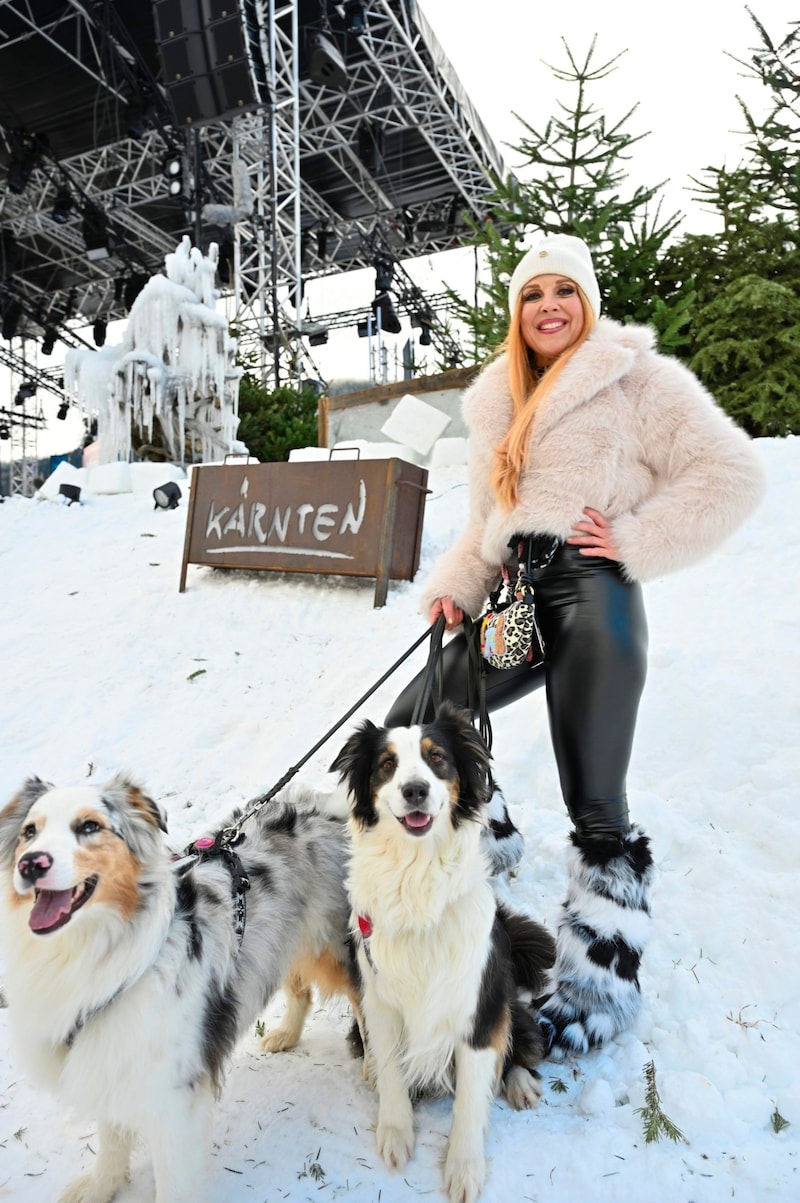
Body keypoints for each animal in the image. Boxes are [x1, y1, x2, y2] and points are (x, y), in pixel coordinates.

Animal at [0, 774, 358, 1203]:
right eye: (29, 832)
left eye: (89, 826)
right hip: (280, 940)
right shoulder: (107, 1054)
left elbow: (172, 1179)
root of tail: (318, 804)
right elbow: (110, 1135)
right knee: (300, 989)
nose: (30, 864)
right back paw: (286, 1034)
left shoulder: (174, 1096)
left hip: (334, 947)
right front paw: (102, 1185)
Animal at [329, 702, 555, 1203]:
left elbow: (470, 1099)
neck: (417, 877)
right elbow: (392, 1070)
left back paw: (520, 1083)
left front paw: (464, 1169)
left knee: (519, 1040)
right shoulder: (379, 999)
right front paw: (395, 1133)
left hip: (505, 1000)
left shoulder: (477, 1005)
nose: (415, 790)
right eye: (387, 765)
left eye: (437, 759)